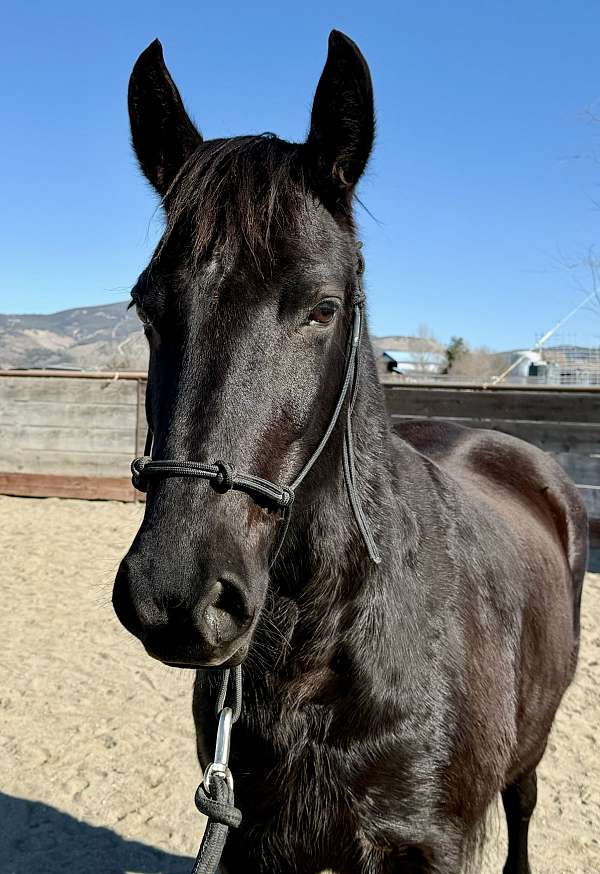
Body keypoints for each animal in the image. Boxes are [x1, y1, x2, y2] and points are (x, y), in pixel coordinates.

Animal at [112, 30, 584, 868]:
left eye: (323, 307)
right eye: (147, 306)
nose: (174, 595)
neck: (325, 642)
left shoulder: (430, 846)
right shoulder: (255, 839)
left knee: (525, 806)